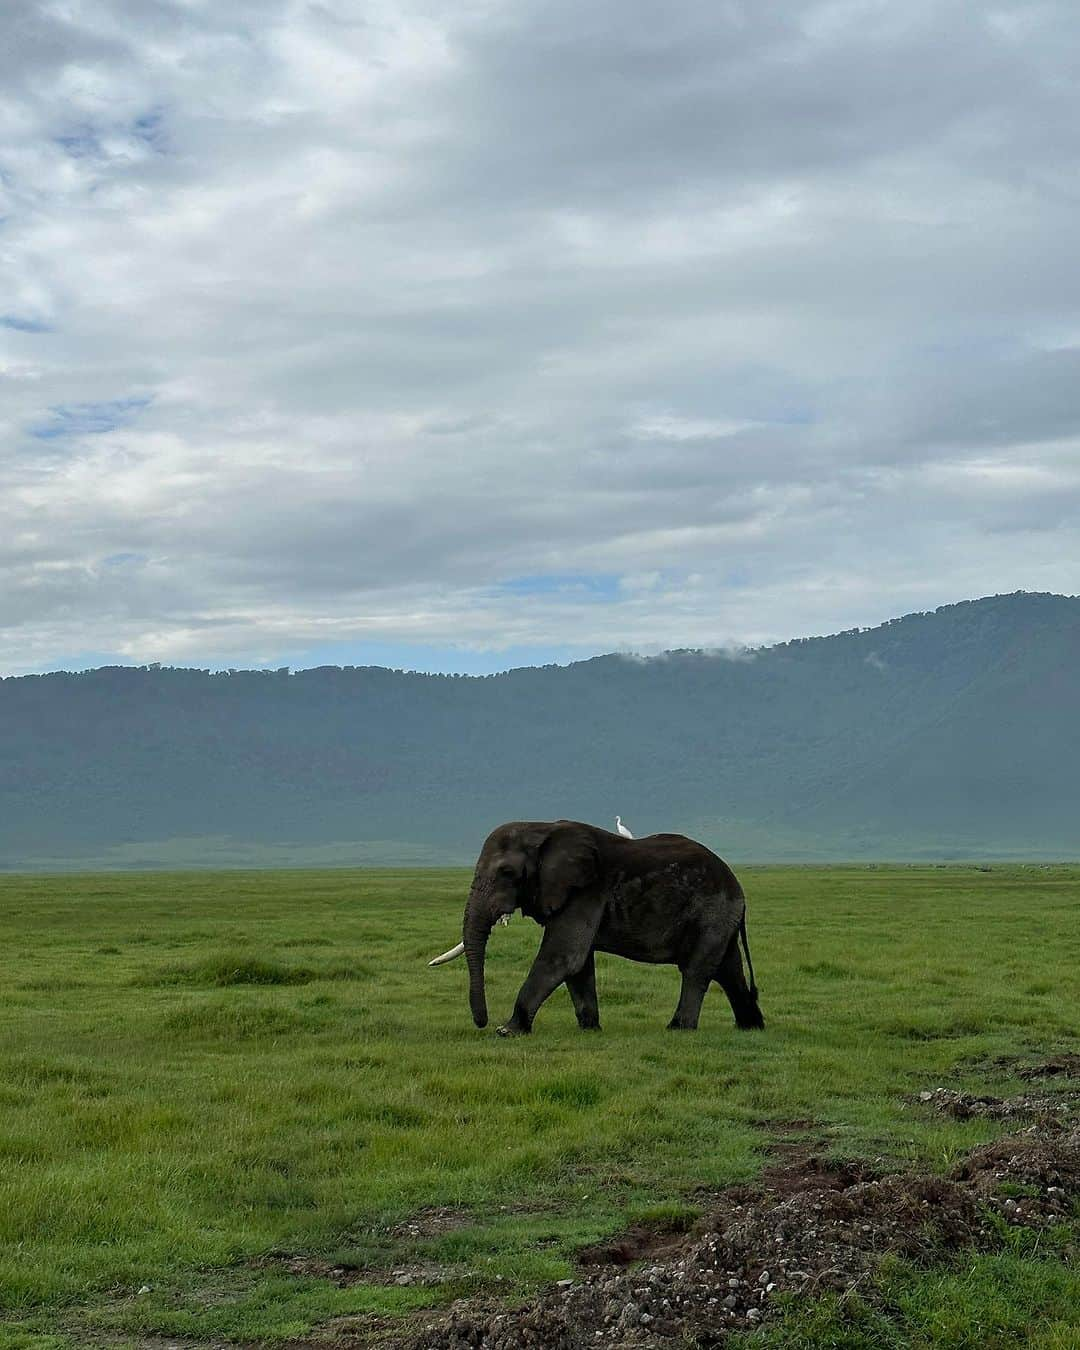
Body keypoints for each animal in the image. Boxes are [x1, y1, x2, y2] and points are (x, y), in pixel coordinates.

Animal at [426, 815, 761, 1036]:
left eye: (507, 872)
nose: (481, 1023)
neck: (542, 828)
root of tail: (739, 889)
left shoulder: (585, 891)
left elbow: (562, 958)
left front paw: (508, 1030)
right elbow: (579, 965)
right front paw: (590, 1029)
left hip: (712, 911)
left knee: (696, 970)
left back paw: (678, 1028)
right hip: (719, 917)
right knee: (727, 970)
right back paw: (751, 1027)